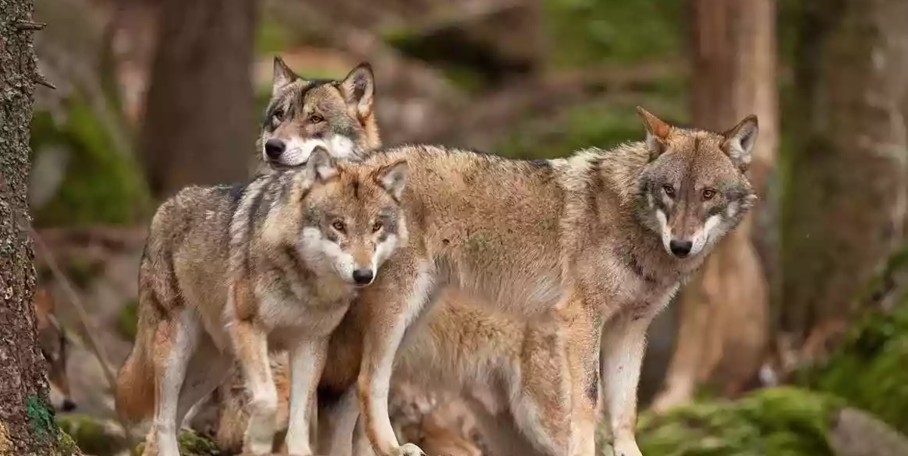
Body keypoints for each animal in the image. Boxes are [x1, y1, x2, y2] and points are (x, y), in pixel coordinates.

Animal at [312, 107, 759, 456]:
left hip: (414, 325)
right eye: (669, 190)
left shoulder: (629, 330)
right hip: (399, 316)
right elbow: (587, 403)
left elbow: (624, 413)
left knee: (350, 396)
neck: (633, 224)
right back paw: (393, 447)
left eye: (707, 194)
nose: (681, 245)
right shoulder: (581, 320)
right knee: (368, 383)